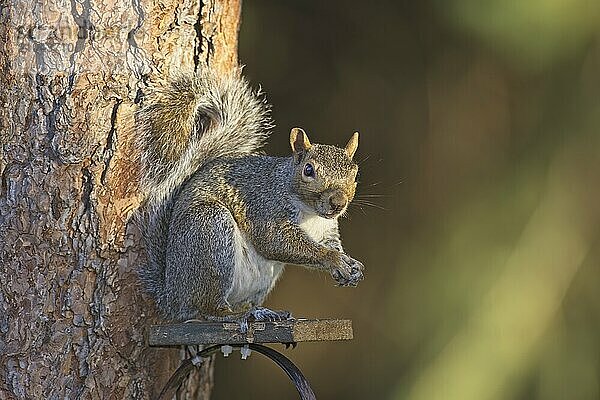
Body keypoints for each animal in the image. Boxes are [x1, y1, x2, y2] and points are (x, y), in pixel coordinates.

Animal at [134, 69, 364, 324]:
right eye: (308, 170)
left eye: (355, 173)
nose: (338, 203)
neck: (311, 214)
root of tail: (172, 296)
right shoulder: (265, 208)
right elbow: (276, 241)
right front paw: (333, 259)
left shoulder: (327, 230)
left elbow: (332, 244)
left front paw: (351, 265)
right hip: (209, 229)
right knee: (206, 309)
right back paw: (233, 314)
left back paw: (260, 311)